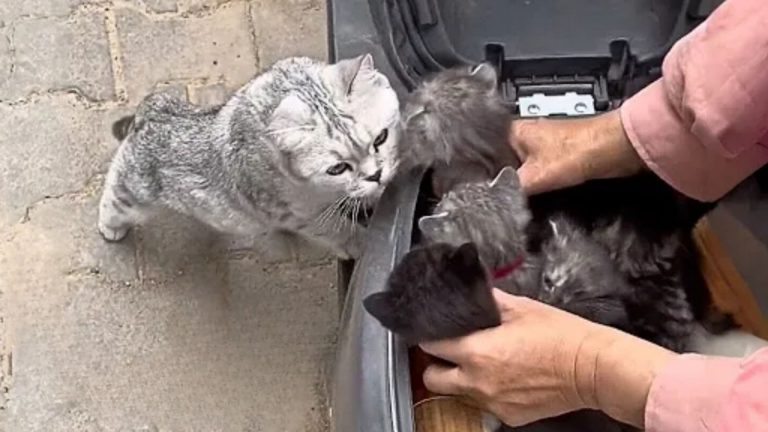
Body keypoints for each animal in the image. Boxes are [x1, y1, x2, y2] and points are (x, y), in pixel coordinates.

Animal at [98, 53, 400, 256]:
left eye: (381, 138)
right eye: (337, 168)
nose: (376, 174)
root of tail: (152, 111)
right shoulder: (300, 215)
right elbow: (341, 231)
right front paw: (360, 244)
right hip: (135, 189)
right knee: (115, 194)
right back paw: (110, 227)